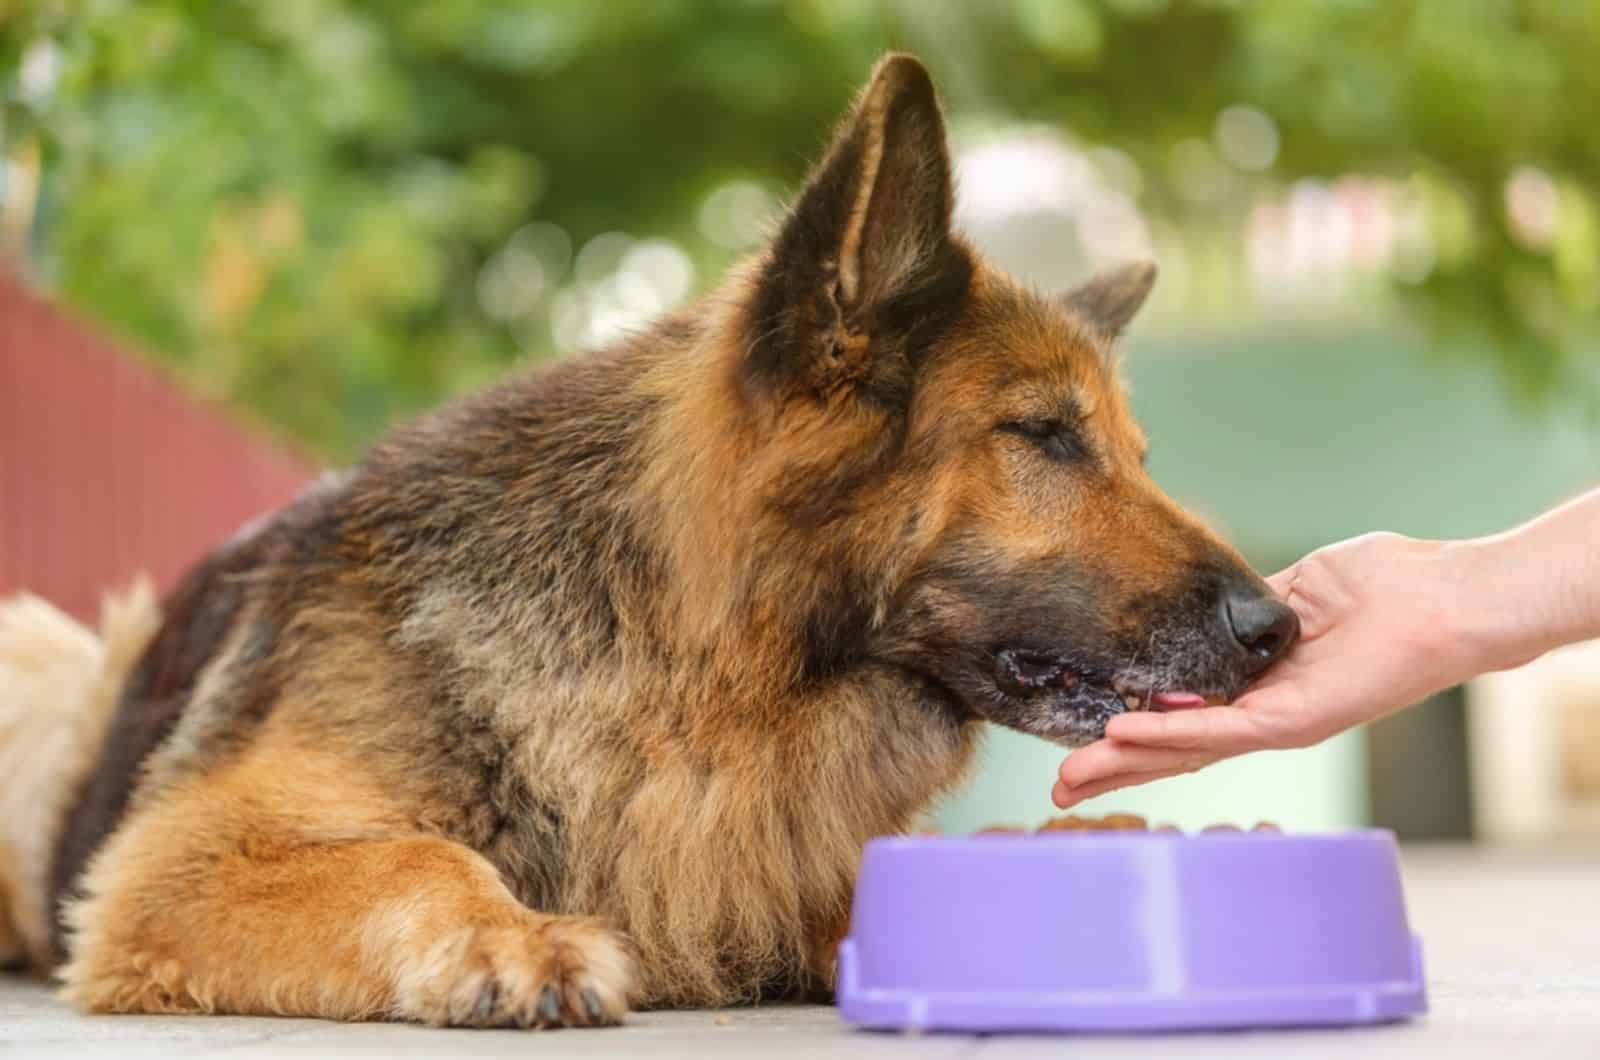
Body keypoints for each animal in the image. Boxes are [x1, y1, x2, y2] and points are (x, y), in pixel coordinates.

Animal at [0, 54, 1292, 1024]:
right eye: (1044, 435)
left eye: (1128, 450)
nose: (1276, 624)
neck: (685, 665)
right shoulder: (174, 867)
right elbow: (413, 853)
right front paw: (510, 937)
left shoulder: (767, 867)